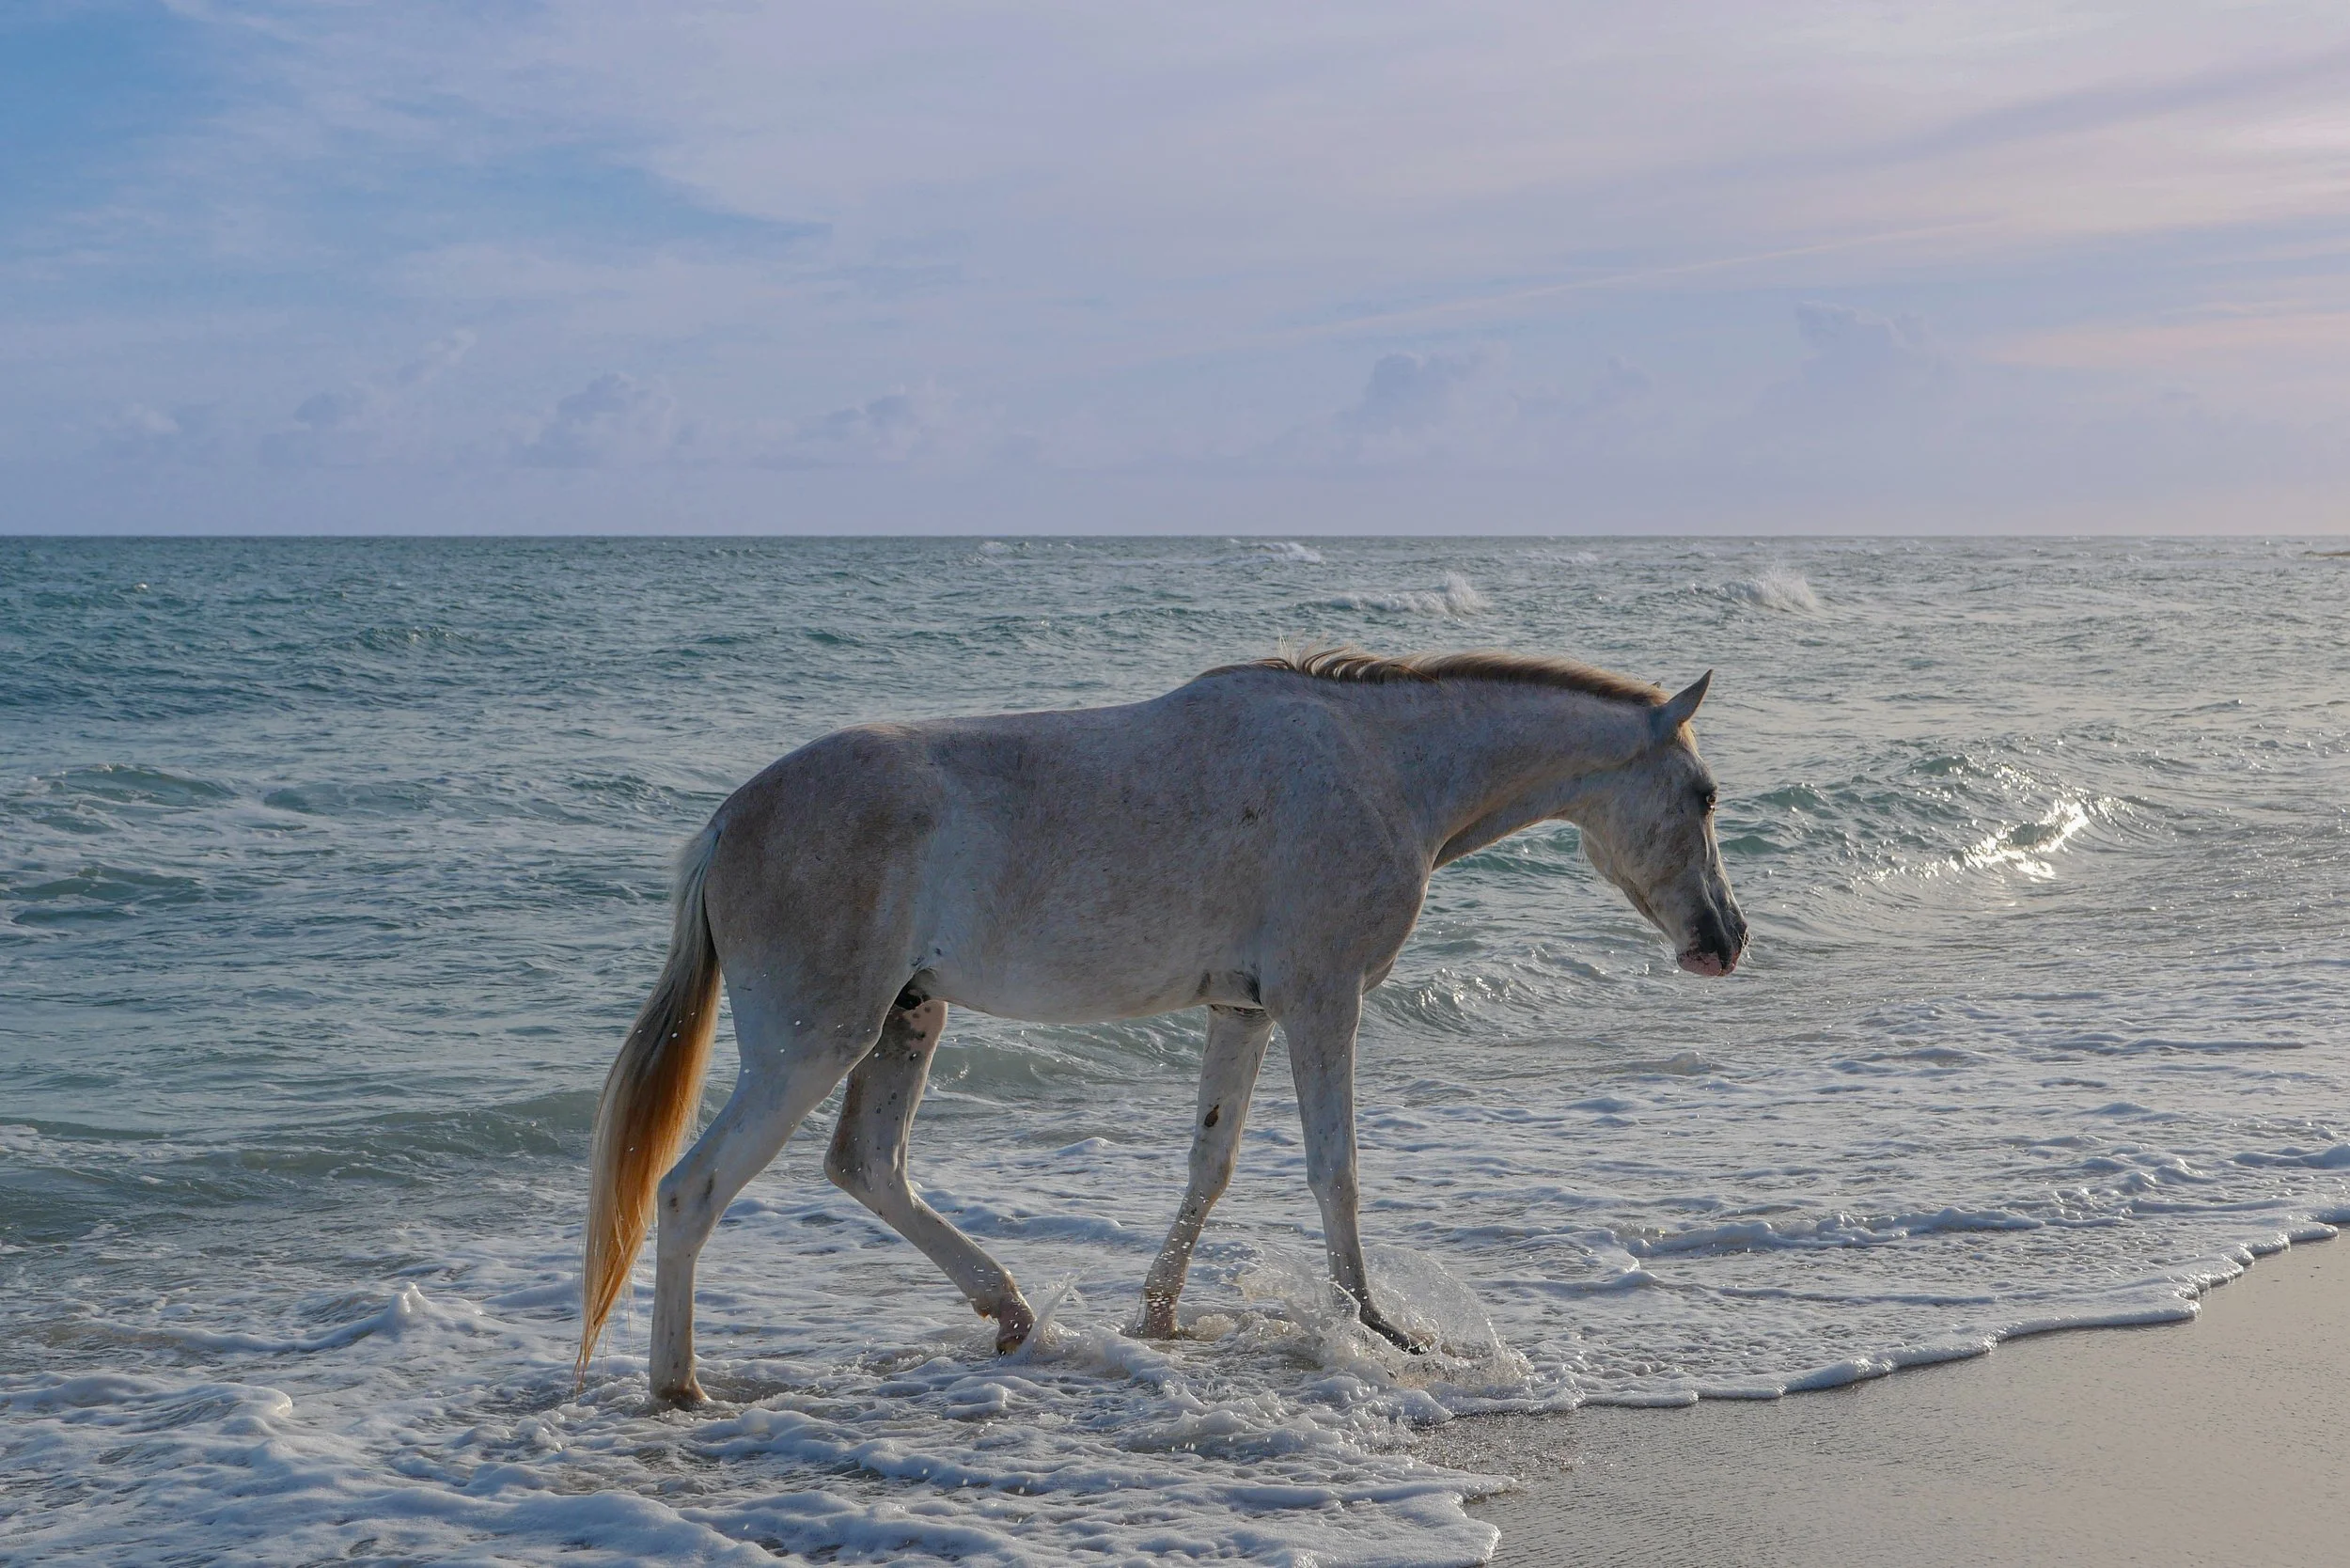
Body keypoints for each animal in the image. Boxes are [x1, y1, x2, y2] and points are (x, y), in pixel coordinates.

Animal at [577, 645, 1747, 1402]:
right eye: (1702, 793)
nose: (1725, 939)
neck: (1382, 766)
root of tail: (728, 821)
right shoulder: (1321, 1000)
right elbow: (1336, 1171)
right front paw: (1378, 1329)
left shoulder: (1244, 1010)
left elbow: (1210, 1168)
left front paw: (1158, 1320)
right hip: (810, 1043)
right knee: (688, 1192)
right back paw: (680, 1389)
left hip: (905, 1020)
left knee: (867, 1166)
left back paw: (1009, 1311)